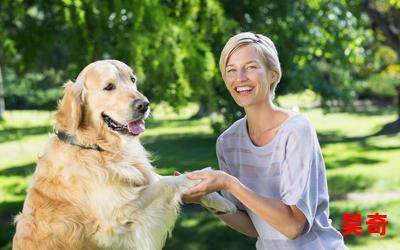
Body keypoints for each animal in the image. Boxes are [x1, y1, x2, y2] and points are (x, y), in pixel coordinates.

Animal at [14, 59, 236, 249]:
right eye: (109, 87)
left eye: (133, 79)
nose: (144, 104)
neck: (99, 148)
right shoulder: (117, 216)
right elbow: (169, 183)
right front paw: (207, 176)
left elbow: (168, 179)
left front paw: (222, 202)